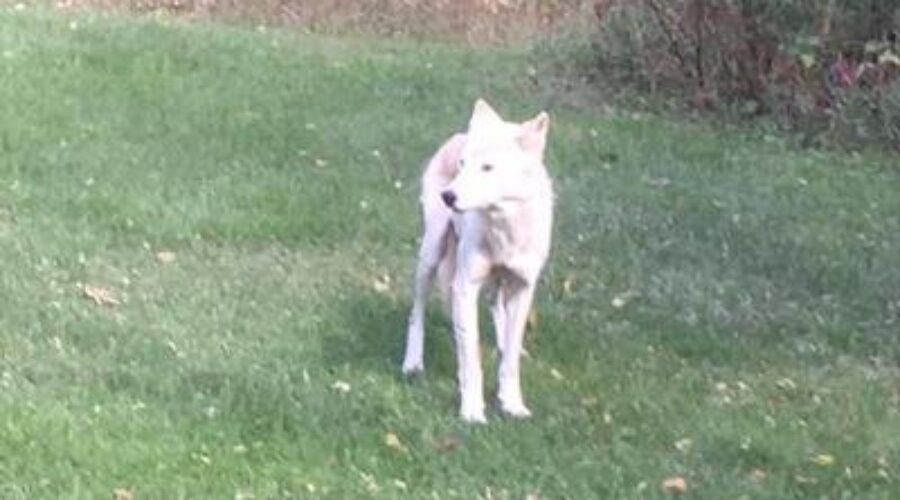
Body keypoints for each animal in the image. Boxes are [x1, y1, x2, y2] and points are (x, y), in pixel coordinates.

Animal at [402, 99, 553, 423]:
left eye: (487, 168)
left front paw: (512, 405)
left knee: (497, 309)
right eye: (462, 165)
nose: (448, 196)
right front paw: (472, 412)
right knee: (417, 311)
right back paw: (412, 363)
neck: (503, 228)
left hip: (496, 281)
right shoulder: (466, 286)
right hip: (431, 253)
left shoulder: (522, 288)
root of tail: (457, 135)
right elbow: (471, 358)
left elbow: (510, 361)